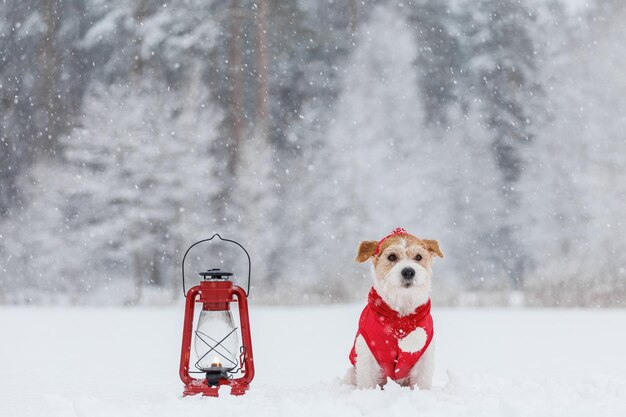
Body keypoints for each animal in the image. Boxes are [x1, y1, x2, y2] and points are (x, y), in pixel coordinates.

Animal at [344, 228, 442, 386]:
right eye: (391, 257)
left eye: (418, 257)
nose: (408, 271)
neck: (400, 316)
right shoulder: (367, 355)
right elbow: (367, 381)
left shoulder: (424, 358)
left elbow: (422, 383)